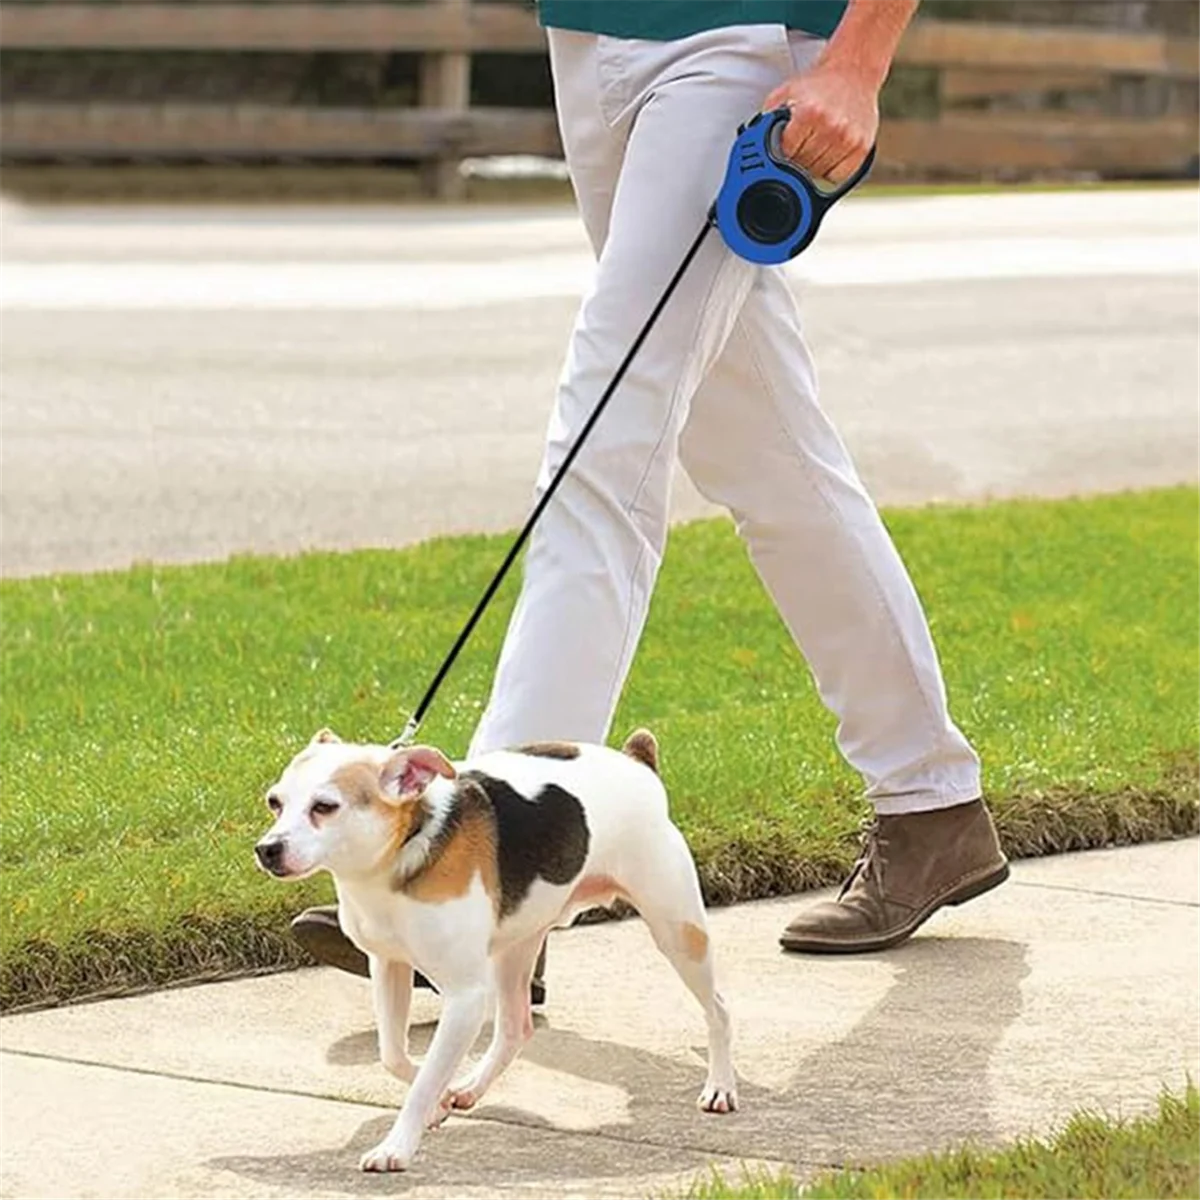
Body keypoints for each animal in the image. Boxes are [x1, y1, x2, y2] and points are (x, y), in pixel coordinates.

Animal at [258, 724, 734, 1166]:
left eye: (325, 807)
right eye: (274, 802)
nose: (266, 849)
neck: (404, 850)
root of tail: (638, 763)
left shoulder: (465, 997)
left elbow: (426, 1078)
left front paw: (398, 1146)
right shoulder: (388, 965)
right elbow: (393, 1056)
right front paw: (441, 1102)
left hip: (677, 931)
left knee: (719, 1010)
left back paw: (720, 1086)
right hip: (517, 947)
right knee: (515, 1027)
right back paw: (469, 1087)